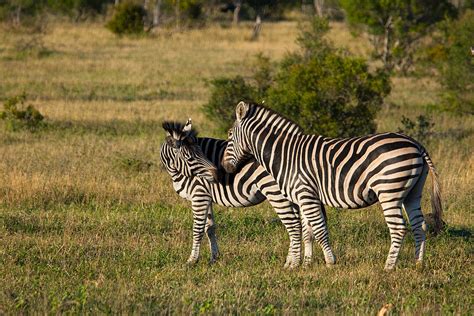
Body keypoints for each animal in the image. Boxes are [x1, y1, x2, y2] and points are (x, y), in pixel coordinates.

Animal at [159, 119, 314, 268]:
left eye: (201, 153)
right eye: (190, 158)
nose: (218, 175)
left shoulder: (199, 194)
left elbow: (197, 230)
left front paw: (192, 261)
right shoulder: (206, 196)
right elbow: (210, 228)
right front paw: (214, 258)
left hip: (275, 192)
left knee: (294, 225)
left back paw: (291, 263)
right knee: (304, 226)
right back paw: (305, 262)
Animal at [222, 102, 444, 270]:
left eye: (230, 135)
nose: (225, 167)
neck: (285, 155)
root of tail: (416, 144)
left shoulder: (306, 195)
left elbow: (319, 230)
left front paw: (330, 261)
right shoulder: (304, 198)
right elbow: (308, 233)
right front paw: (306, 264)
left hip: (389, 191)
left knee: (398, 228)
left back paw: (388, 267)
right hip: (412, 193)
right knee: (419, 225)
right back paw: (418, 263)